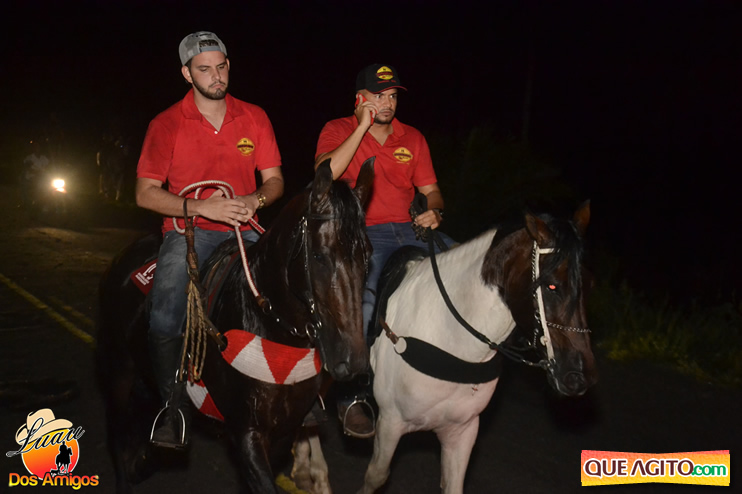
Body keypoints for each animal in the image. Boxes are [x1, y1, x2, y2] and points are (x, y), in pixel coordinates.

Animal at [96, 160, 373, 494]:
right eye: (319, 256)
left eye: (368, 255)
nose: (352, 360)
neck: (268, 323)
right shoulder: (246, 433)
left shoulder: (282, 432)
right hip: (118, 370)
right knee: (117, 433)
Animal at [352, 201, 598, 494]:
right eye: (551, 285)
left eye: (588, 284)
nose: (577, 377)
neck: (450, 339)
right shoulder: (390, 421)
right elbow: (375, 475)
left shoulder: (462, 431)